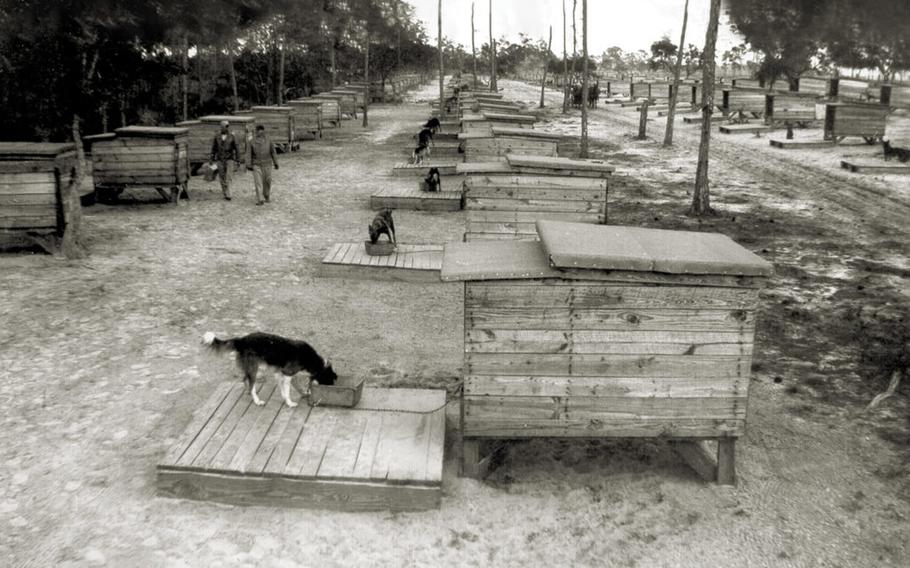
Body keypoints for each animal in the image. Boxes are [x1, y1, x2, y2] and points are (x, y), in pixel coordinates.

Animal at [203, 332, 338, 408]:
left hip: (249, 368)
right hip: (254, 369)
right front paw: (290, 403)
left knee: (245, 380)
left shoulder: (283, 373)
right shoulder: (287, 373)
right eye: (329, 382)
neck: (313, 360)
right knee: (251, 385)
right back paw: (257, 401)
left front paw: (303, 394)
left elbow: (293, 387)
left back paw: (248, 392)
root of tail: (242, 339)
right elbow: (287, 391)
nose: (330, 389)